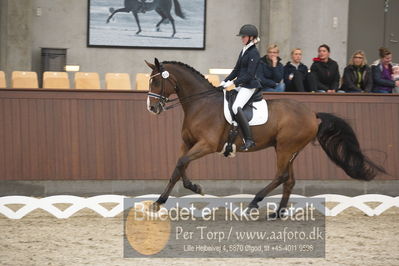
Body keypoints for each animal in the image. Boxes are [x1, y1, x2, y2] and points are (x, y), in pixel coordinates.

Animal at [145, 58, 386, 218]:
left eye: (156, 83)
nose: (152, 108)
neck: (201, 104)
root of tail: (312, 115)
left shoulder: (207, 145)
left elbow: (181, 163)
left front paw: (194, 188)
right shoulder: (187, 143)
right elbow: (178, 168)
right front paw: (160, 201)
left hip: (285, 148)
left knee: (280, 176)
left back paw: (254, 203)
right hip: (290, 150)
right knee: (289, 180)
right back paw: (278, 213)